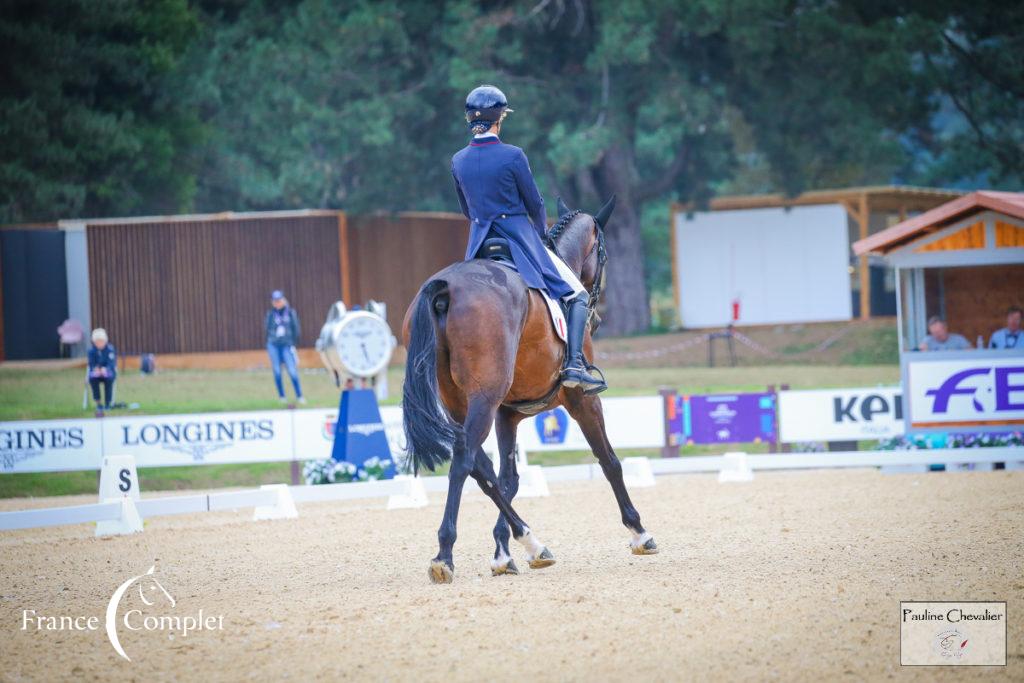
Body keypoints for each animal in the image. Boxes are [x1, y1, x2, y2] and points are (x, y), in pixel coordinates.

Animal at [399, 196, 655, 581]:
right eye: (605, 255)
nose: (596, 318)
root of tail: (445, 287)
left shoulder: (508, 414)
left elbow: (509, 479)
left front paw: (503, 552)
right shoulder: (581, 400)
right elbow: (609, 461)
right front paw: (639, 531)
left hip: (461, 402)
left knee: (480, 467)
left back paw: (530, 542)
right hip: (484, 397)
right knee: (463, 458)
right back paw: (445, 554)